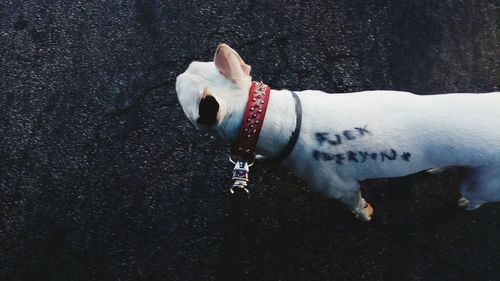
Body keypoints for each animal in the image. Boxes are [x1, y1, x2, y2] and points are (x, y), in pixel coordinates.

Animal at [178, 42, 500, 220]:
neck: (269, 115)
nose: (178, 73)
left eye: (179, 92)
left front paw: (364, 213)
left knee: (476, 196)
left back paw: (466, 204)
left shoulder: (341, 187)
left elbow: (355, 202)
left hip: (482, 182)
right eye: (191, 66)